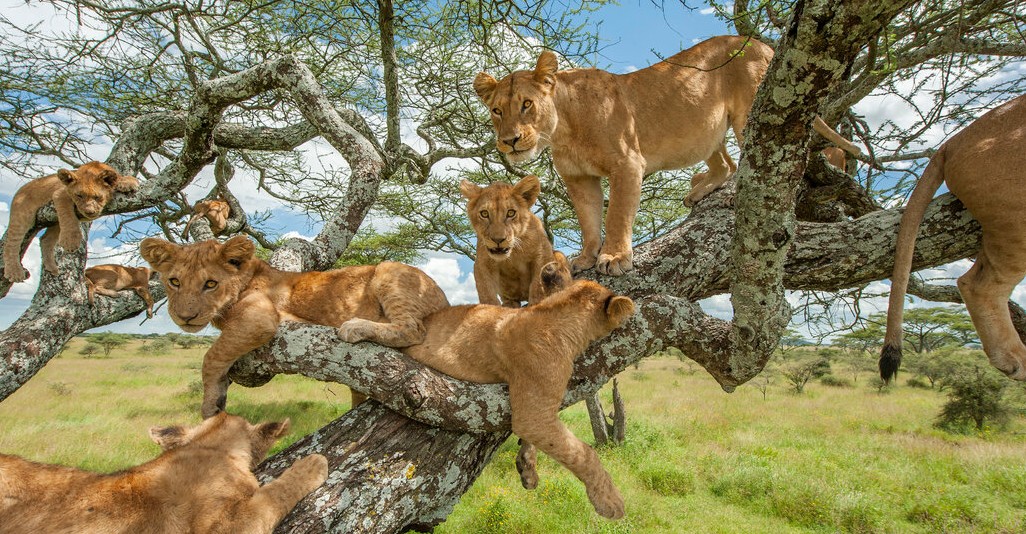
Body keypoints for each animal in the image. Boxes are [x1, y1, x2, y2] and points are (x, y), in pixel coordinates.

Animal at [3, 161, 139, 283]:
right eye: (79, 195)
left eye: (97, 197)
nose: (89, 212)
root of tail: (21, 189)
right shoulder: (60, 194)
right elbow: (68, 216)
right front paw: (70, 241)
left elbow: (121, 177)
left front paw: (127, 182)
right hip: (22, 217)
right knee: (11, 244)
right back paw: (14, 272)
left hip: (55, 223)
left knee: (45, 239)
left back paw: (51, 268)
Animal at [139, 235, 449, 417]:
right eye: (174, 282)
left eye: (211, 284)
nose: (185, 317)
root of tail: (444, 297)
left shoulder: (260, 319)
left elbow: (212, 355)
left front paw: (210, 405)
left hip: (388, 268)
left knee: (412, 328)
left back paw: (354, 326)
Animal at [460, 174, 557, 307]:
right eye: (484, 213)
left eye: (511, 213)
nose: (498, 239)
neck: (513, 253)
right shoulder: (482, 263)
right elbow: (486, 292)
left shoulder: (544, 253)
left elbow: (538, 285)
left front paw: (537, 304)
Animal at [473, 35, 861, 276]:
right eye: (496, 110)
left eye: (526, 104)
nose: (509, 141)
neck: (564, 130)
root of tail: (760, 43)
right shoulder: (578, 178)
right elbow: (588, 220)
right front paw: (586, 256)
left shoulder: (627, 163)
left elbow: (616, 215)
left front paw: (613, 257)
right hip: (707, 132)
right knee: (727, 163)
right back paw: (700, 190)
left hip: (753, 111)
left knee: (762, 159)